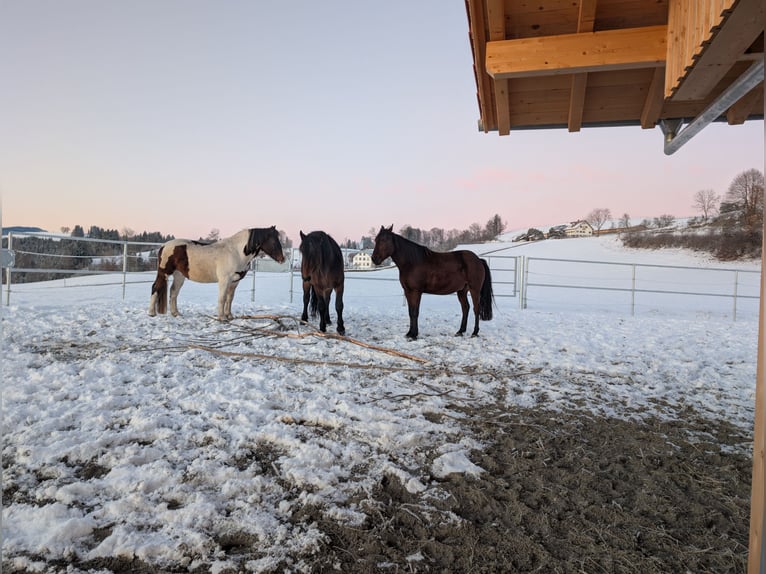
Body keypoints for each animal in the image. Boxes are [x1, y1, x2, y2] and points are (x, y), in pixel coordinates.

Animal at [148, 226, 284, 321]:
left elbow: (230, 298)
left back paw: (175, 313)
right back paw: (151, 313)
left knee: (173, 292)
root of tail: (163, 246)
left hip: (179, 276)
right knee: (155, 287)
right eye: (273, 241)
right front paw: (222, 317)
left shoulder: (234, 282)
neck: (236, 252)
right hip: (164, 273)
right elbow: (222, 298)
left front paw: (229, 316)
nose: (282, 259)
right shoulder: (224, 280)